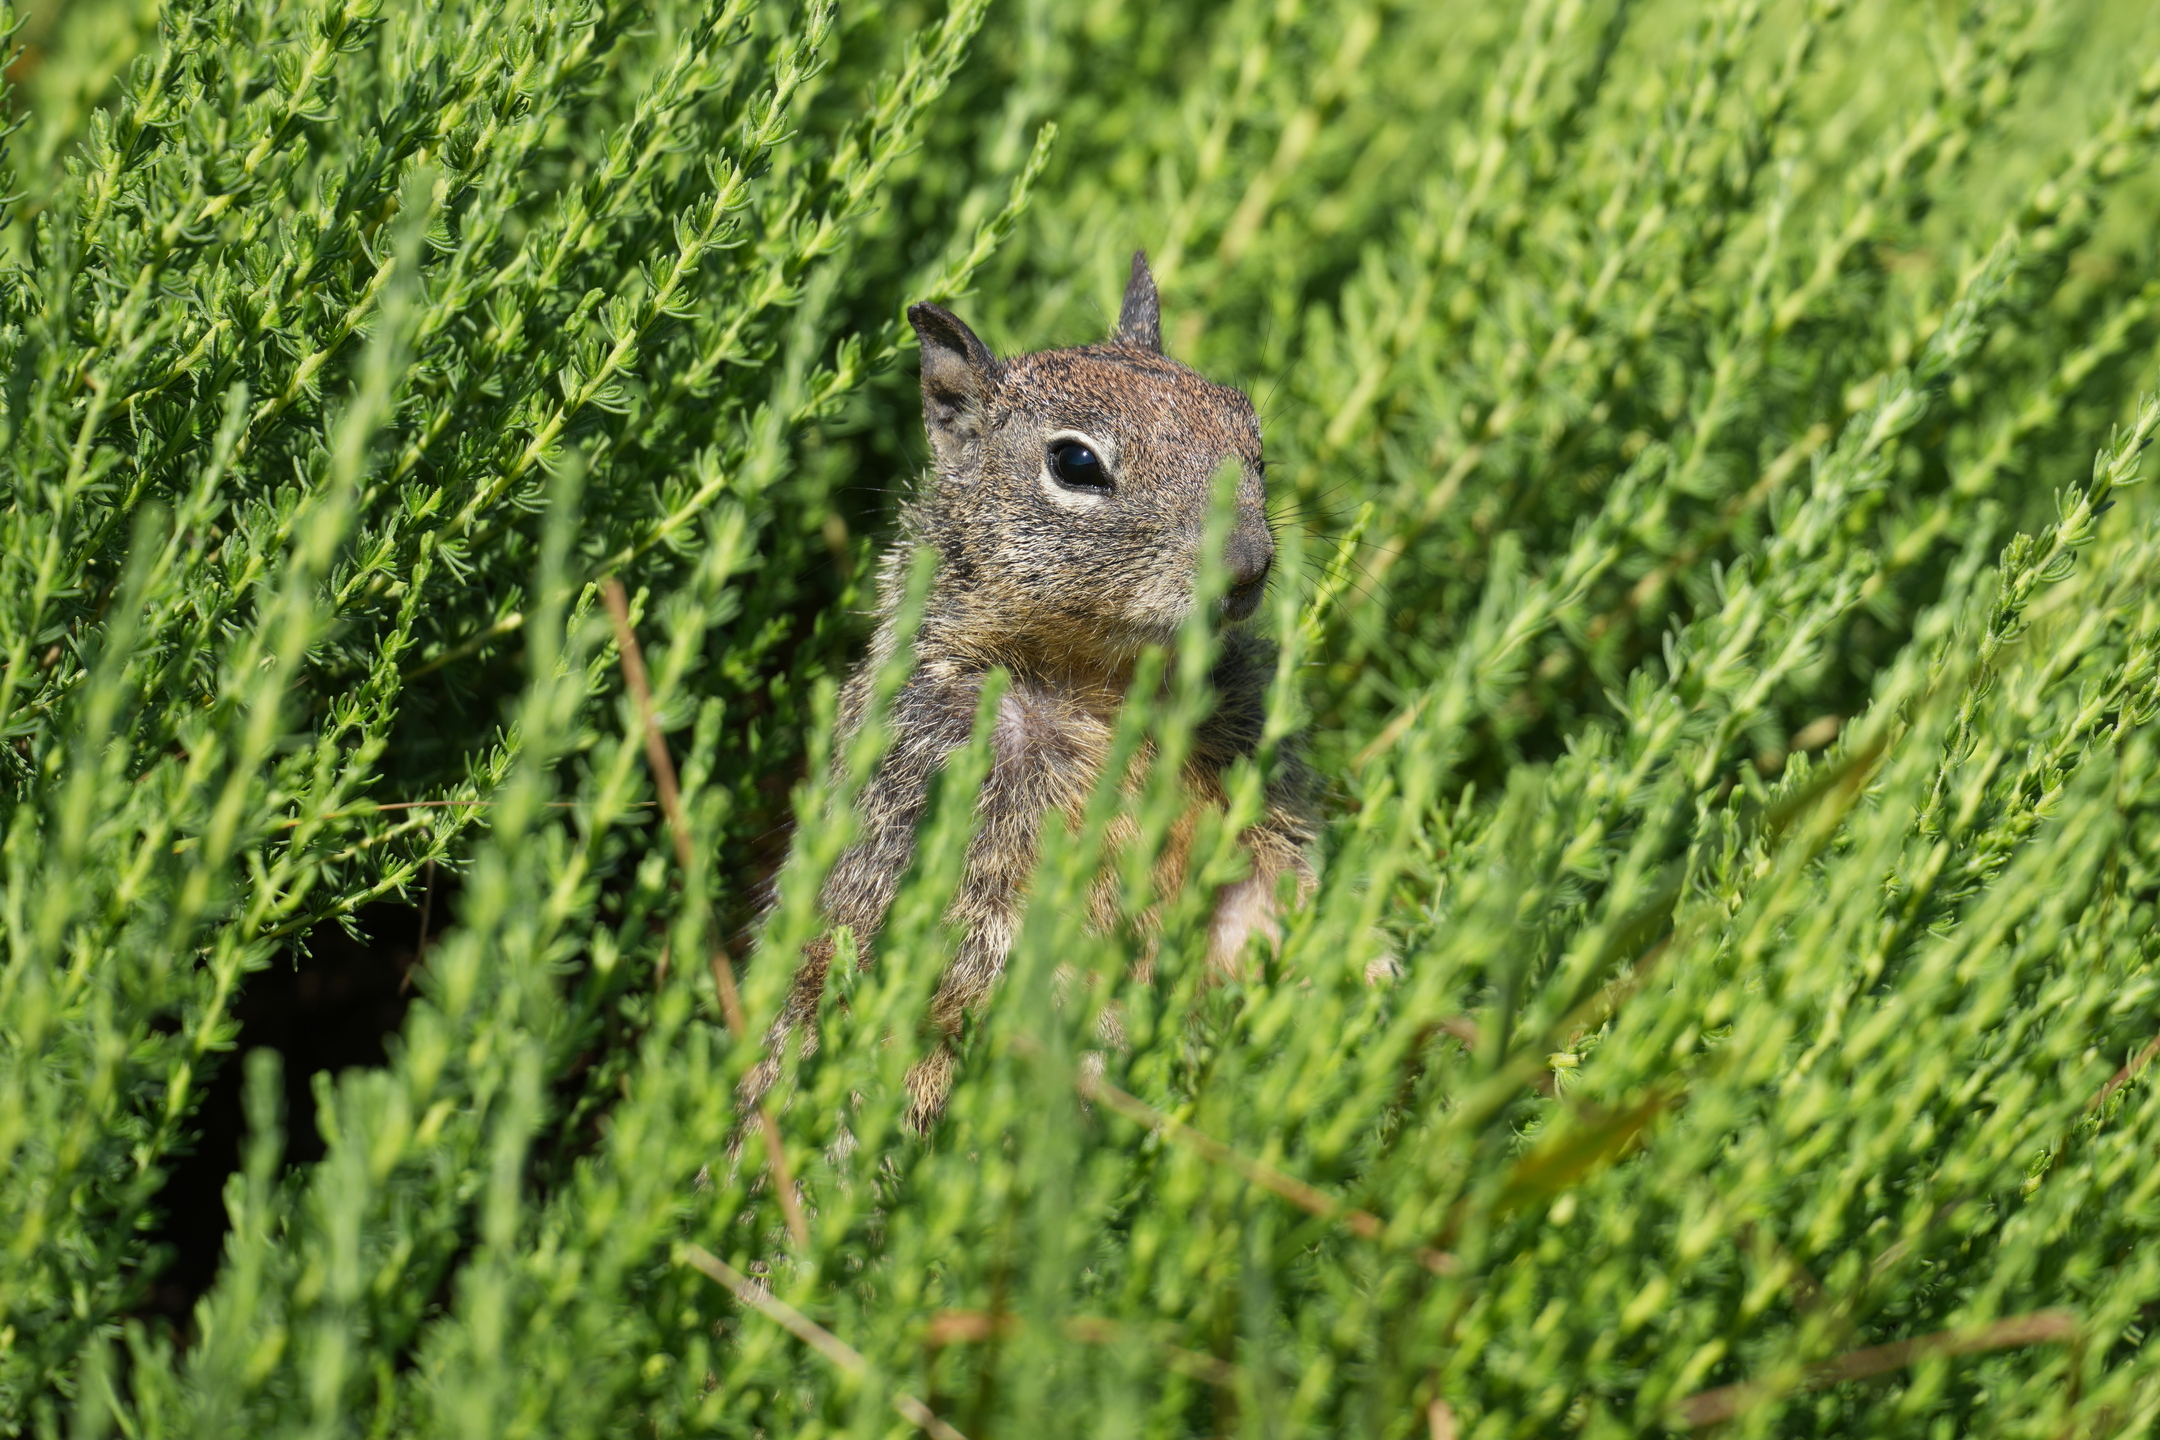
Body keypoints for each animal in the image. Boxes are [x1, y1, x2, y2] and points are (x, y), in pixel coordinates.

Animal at [751, 251, 1316, 1133]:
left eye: (1251, 436)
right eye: (1075, 464)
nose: (1248, 564)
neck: (1111, 686)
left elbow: (1266, 885)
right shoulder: (941, 795)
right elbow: (987, 951)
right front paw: (1102, 1039)